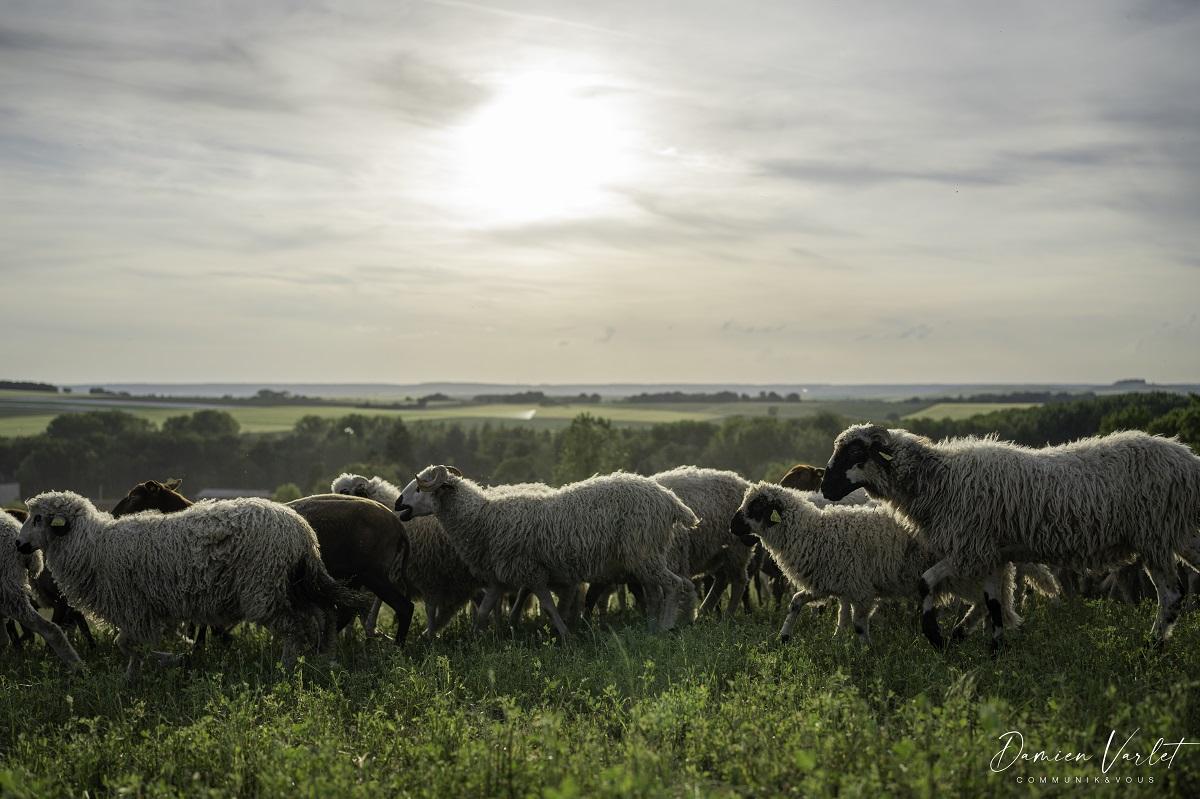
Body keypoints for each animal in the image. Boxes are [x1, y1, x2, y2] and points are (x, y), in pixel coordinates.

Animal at [17, 484, 360, 676]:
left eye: (38, 518)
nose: (19, 545)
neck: (92, 545)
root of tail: (303, 532)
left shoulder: (136, 609)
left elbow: (129, 645)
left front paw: (172, 660)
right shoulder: (142, 611)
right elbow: (128, 646)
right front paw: (132, 677)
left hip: (263, 588)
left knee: (296, 626)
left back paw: (287, 666)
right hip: (291, 584)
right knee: (320, 615)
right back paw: (322, 657)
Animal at [396, 463, 696, 638]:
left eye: (419, 488)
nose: (398, 503)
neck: (482, 518)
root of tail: (669, 500)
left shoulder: (532, 572)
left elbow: (550, 607)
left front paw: (565, 635)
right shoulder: (498, 577)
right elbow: (483, 612)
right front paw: (476, 639)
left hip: (643, 552)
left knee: (674, 585)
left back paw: (665, 627)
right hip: (645, 555)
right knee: (656, 592)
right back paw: (652, 628)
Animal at [724, 482, 1027, 643]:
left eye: (756, 507)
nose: (732, 526)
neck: (812, 533)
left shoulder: (861, 590)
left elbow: (859, 623)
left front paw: (866, 651)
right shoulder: (829, 583)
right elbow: (797, 601)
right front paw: (785, 637)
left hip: (964, 574)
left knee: (985, 603)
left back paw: (962, 631)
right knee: (987, 604)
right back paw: (965, 632)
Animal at [820, 422, 1200, 647]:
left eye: (856, 453)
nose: (825, 489)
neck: (939, 480)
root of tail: (1187, 459)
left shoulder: (970, 548)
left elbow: (926, 583)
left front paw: (936, 636)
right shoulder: (992, 553)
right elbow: (993, 603)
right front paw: (991, 649)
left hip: (1159, 534)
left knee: (1171, 594)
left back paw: (1153, 646)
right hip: (1170, 536)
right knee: (1174, 592)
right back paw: (1156, 646)